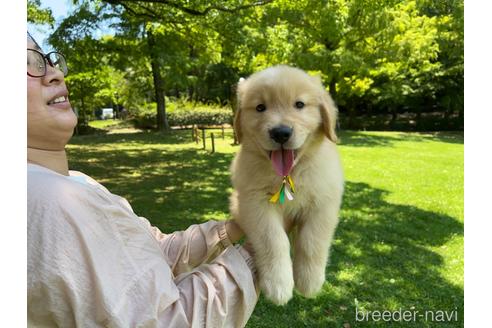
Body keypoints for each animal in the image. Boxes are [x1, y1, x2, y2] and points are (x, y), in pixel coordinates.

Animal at [230, 64, 342, 304]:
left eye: (299, 104)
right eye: (260, 107)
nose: (280, 133)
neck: (288, 175)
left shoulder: (324, 202)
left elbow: (312, 241)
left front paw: (309, 281)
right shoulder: (252, 203)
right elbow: (274, 239)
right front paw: (278, 284)